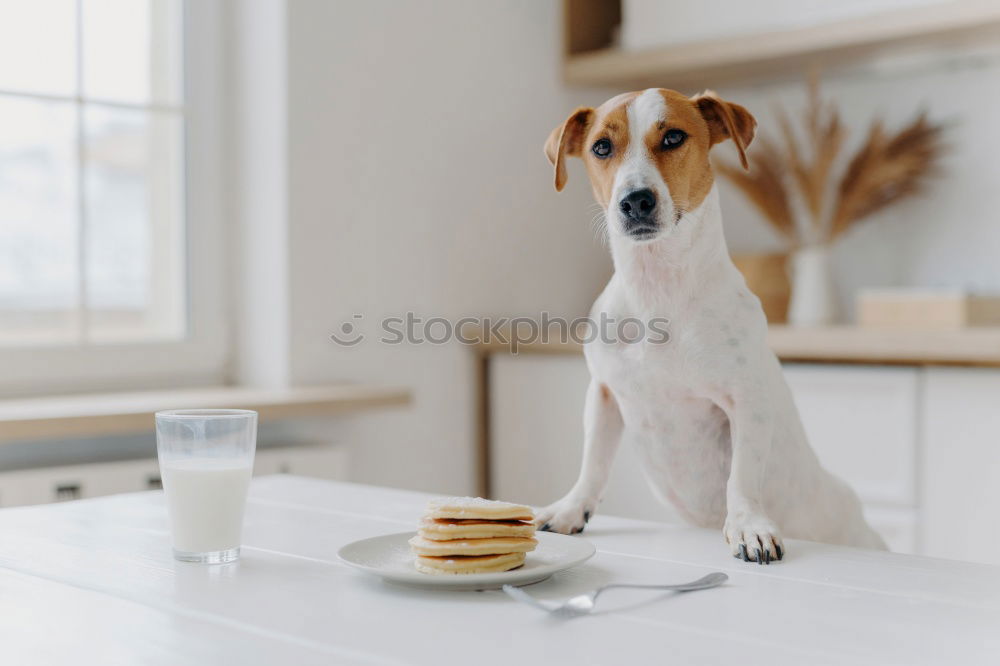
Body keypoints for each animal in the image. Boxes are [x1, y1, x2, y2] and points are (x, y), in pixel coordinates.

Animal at [536, 89, 888, 560]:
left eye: (673, 137)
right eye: (602, 147)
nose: (635, 200)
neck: (657, 291)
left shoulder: (745, 400)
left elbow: (742, 474)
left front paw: (748, 527)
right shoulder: (604, 393)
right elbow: (593, 461)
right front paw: (572, 509)